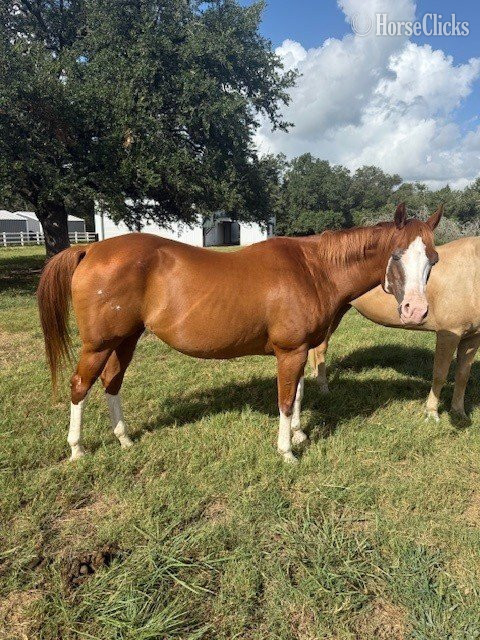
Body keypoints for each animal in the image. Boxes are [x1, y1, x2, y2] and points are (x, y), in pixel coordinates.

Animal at [37, 203, 442, 463]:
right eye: (396, 254)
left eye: (433, 259)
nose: (416, 310)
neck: (314, 269)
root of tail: (90, 250)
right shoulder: (291, 351)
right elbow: (284, 400)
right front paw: (287, 451)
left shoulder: (299, 350)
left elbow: (297, 395)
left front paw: (298, 433)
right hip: (98, 344)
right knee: (80, 386)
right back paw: (77, 449)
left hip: (126, 340)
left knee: (112, 383)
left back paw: (124, 439)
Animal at [309, 236, 480, 421]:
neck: (471, 273)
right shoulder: (448, 334)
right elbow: (440, 374)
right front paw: (431, 413)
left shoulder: (472, 338)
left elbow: (462, 376)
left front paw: (459, 412)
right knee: (320, 349)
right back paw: (323, 388)